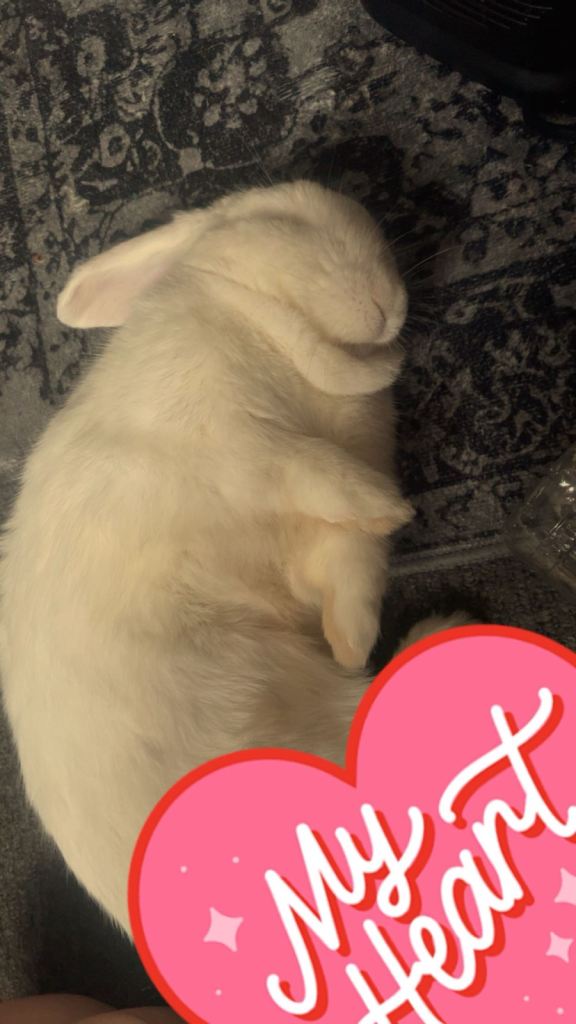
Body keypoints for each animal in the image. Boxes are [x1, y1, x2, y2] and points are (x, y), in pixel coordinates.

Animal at [0, 180, 470, 934]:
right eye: (283, 219)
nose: (388, 304)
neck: (264, 323)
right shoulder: (232, 445)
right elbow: (311, 471)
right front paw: (391, 507)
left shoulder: (331, 538)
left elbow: (351, 566)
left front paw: (348, 636)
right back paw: (442, 629)